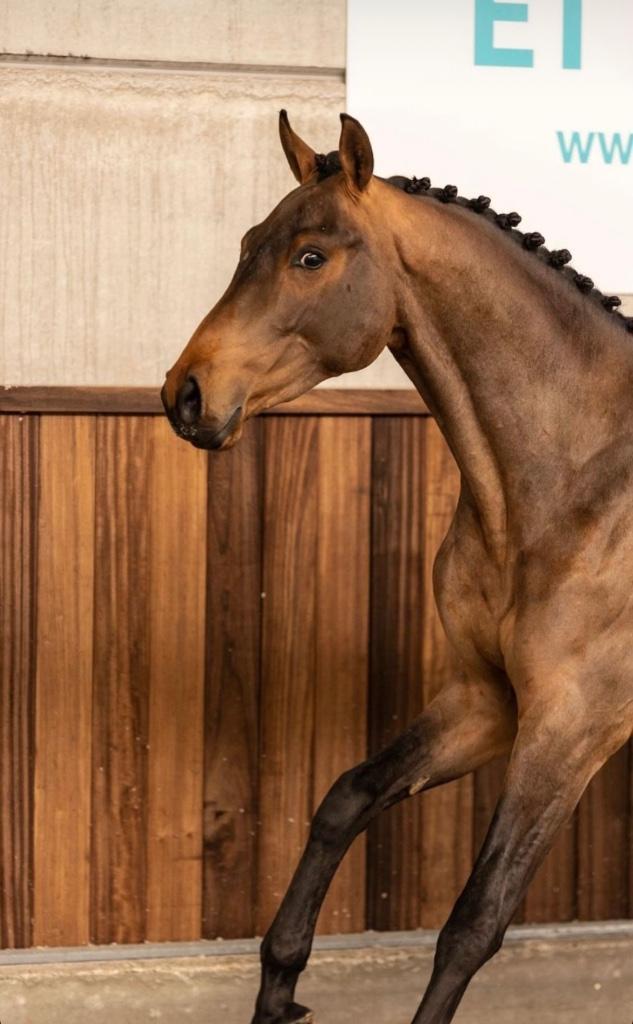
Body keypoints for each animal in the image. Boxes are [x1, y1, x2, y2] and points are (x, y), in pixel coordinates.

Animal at [162, 111, 633, 1024]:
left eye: (310, 256)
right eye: (247, 244)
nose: (186, 394)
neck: (583, 482)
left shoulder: (572, 726)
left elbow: (474, 919)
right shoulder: (487, 701)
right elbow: (346, 796)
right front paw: (279, 991)